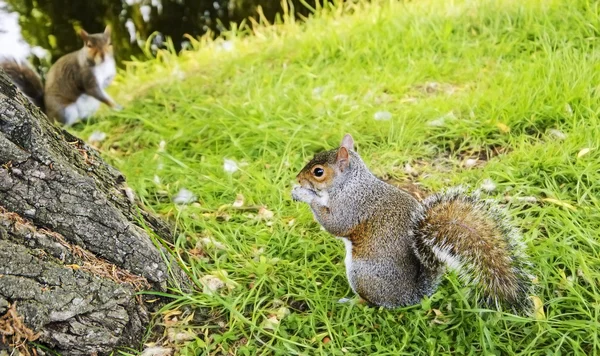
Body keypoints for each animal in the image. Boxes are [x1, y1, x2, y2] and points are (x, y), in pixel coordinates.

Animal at [292, 135, 532, 310]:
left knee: (370, 301)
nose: (298, 178)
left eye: (318, 172)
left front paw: (304, 194)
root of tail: (409, 296)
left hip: (362, 273)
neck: (351, 183)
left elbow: (335, 223)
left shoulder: (351, 206)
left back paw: (350, 302)